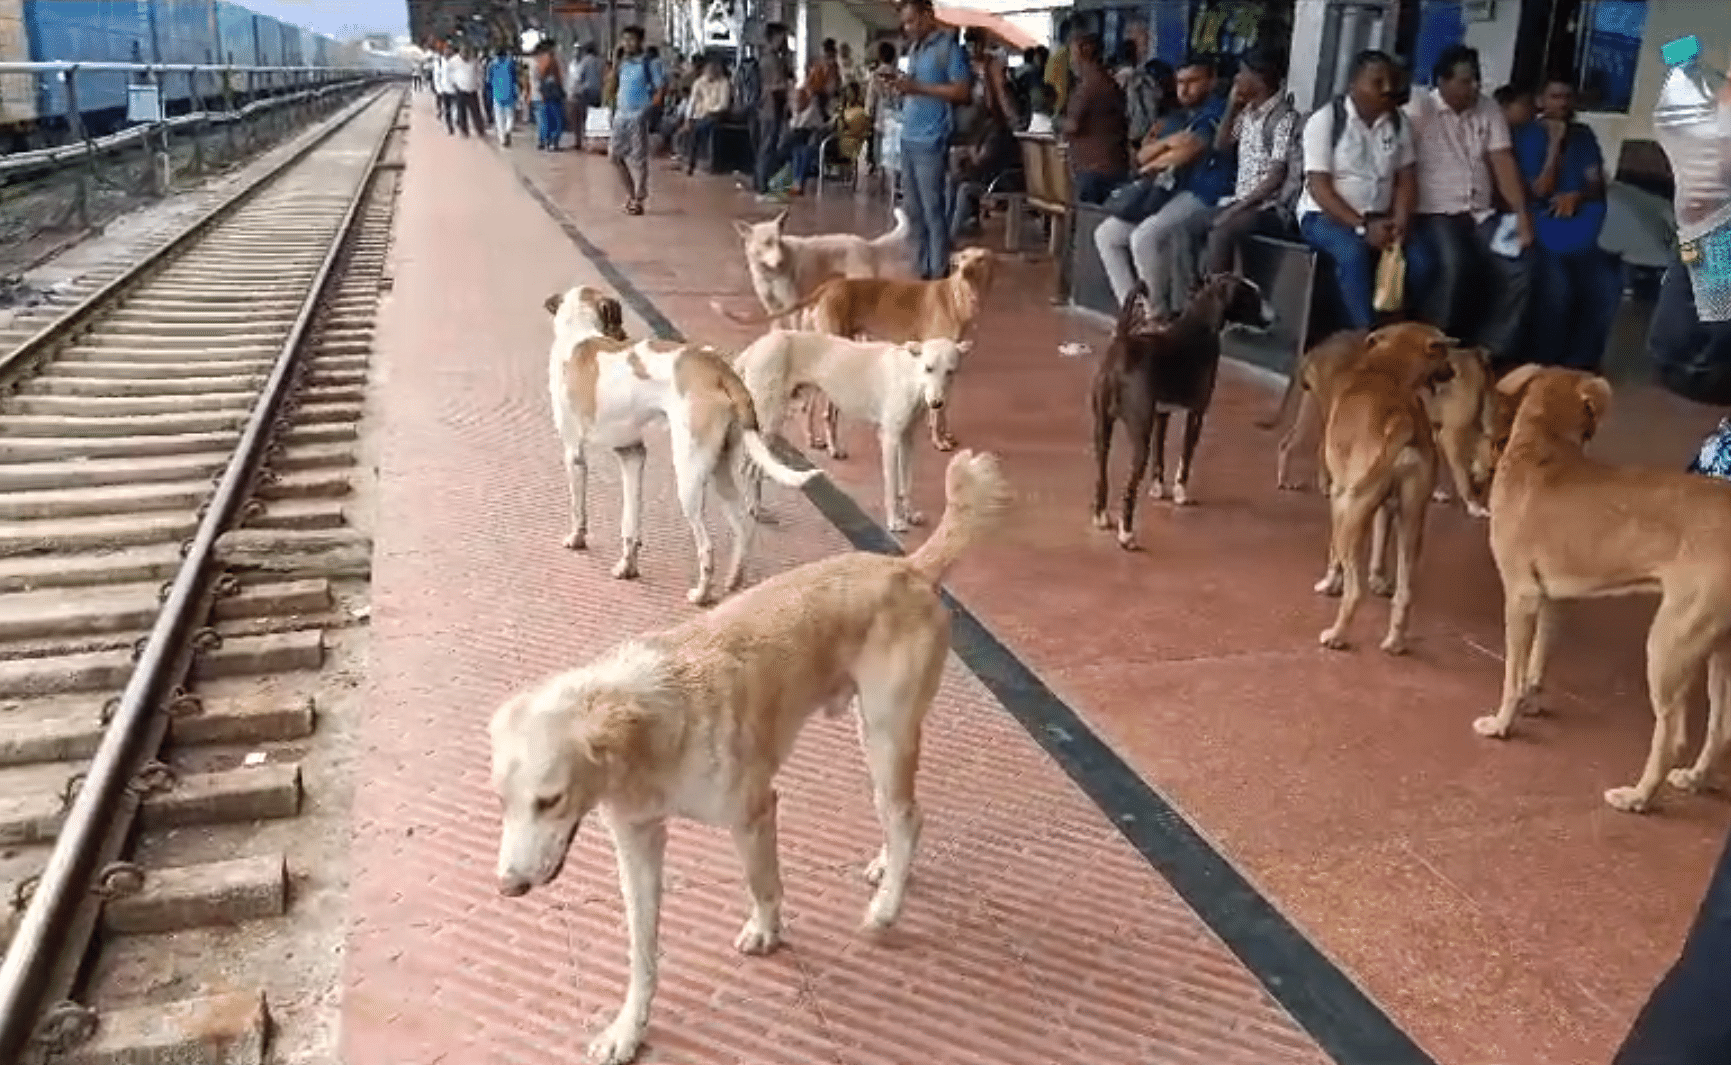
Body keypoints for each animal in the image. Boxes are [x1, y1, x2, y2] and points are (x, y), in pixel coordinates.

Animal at [488, 450, 1010, 1065]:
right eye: (502, 803)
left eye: (550, 800)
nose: (509, 887)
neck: (650, 735)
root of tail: (909, 568)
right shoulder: (637, 842)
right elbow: (642, 947)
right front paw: (628, 1027)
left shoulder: (754, 813)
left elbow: (763, 884)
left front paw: (767, 930)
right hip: (873, 736)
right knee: (898, 814)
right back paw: (888, 868)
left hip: (888, 731)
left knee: (908, 816)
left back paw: (886, 908)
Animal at [546, 285, 830, 609]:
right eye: (617, 319)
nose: (624, 335)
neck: (579, 335)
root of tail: (719, 368)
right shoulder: (631, 455)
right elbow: (630, 522)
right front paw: (627, 567)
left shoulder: (575, 455)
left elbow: (578, 508)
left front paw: (577, 540)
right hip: (720, 472)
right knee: (743, 527)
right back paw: (734, 582)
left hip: (689, 480)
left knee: (707, 548)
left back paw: (702, 594)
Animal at [709, 247, 997, 453]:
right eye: (962, 258)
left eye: (981, 259)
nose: (964, 270)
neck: (958, 297)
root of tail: (827, 287)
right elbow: (937, 413)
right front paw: (939, 440)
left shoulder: (950, 367)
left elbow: (942, 409)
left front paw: (944, 434)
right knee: (826, 412)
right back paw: (832, 446)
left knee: (810, 408)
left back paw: (813, 439)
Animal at [1087, 275, 1280, 550]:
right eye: (1253, 295)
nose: (1275, 316)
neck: (1200, 325)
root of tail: (1122, 346)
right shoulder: (1197, 412)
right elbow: (1186, 456)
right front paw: (1180, 492)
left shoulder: (1161, 414)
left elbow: (1160, 455)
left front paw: (1158, 489)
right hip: (1139, 437)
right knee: (1129, 488)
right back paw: (1126, 534)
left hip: (1103, 430)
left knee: (1102, 475)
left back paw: (1101, 516)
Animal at [1467, 367, 1731, 817]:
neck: (1544, 445)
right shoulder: (1555, 600)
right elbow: (1537, 662)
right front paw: (1531, 702)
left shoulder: (1520, 595)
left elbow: (1512, 674)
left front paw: (1502, 724)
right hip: (1719, 652)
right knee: (1721, 728)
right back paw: (1695, 780)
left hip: (1672, 642)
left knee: (1673, 734)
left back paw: (1637, 797)